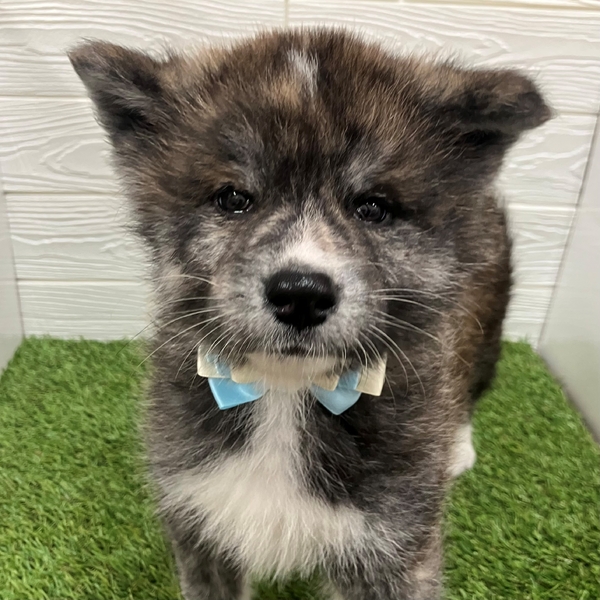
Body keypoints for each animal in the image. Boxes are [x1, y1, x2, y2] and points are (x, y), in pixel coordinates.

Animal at [69, 29, 550, 600]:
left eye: (373, 207)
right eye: (233, 198)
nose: (300, 294)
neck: (285, 389)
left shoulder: (393, 540)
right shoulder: (196, 515)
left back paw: (458, 448)